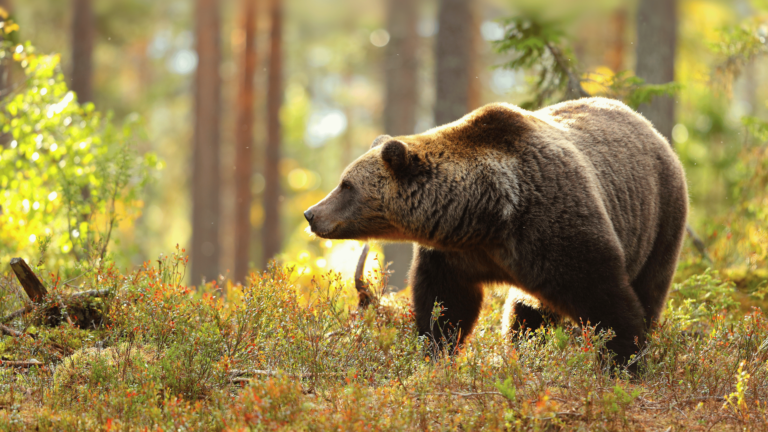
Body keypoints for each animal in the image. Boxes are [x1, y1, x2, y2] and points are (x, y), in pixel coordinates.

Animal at [304, 98, 688, 368]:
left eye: (347, 185)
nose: (311, 214)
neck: (487, 215)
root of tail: (651, 129)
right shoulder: (457, 254)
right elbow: (446, 305)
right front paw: (434, 351)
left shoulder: (555, 224)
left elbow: (605, 296)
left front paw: (623, 361)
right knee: (526, 313)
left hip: (660, 218)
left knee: (650, 287)